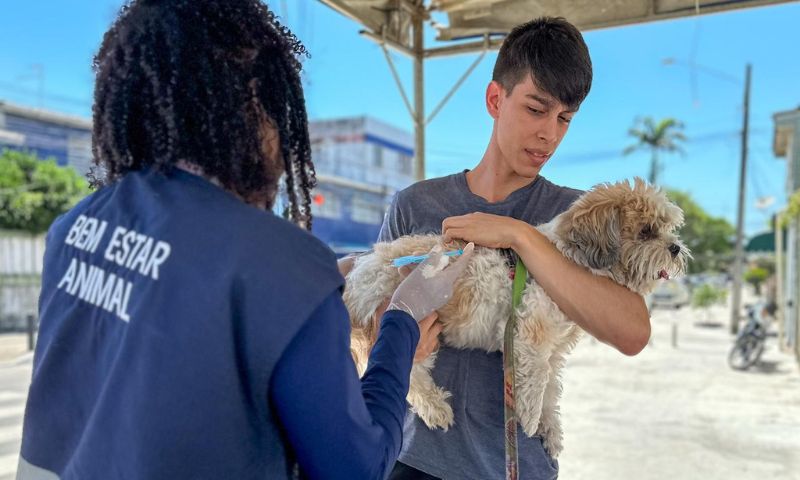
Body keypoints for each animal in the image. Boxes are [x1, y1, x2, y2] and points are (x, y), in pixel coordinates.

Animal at [342, 179, 688, 458]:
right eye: (646, 231)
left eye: (668, 230)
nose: (675, 247)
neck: (567, 258)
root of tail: (357, 273)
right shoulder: (531, 337)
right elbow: (537, 383)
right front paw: (530, 419)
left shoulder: (554, 351)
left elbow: (551, 390)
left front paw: (551, 428)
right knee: (412, 375)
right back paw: (437, 408)